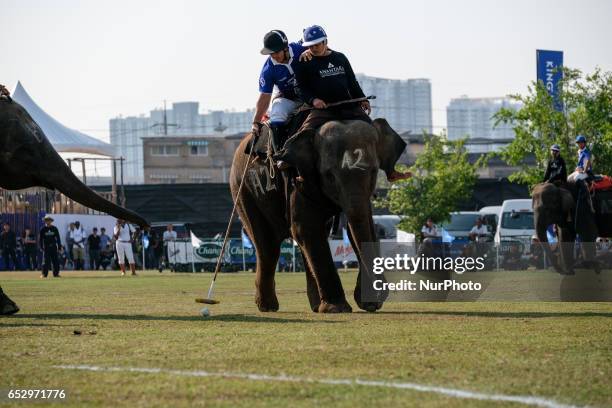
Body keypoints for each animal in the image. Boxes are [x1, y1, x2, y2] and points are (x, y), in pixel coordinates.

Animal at [230, 118, 406, 312]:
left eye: (374, 172)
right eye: (329, 176)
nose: (374, 301)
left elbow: (362, 222)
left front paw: (366, 302)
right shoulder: (298, 179)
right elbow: (306, 227)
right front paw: (337, 308)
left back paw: (315, 305)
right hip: (243, 192)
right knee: (267, 245)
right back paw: (268, 307)